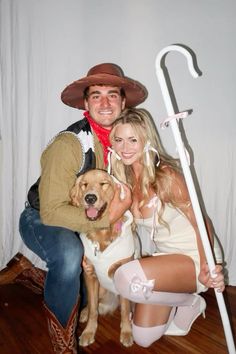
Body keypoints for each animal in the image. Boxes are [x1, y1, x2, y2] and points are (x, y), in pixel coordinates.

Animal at [70, 169, 136, 346]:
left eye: (103, 184)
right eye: (84, 184)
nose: (90, 198)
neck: (102, 234)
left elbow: (125, 310)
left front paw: (126, 332)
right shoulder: (90, 275)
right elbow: (93, 309)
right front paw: (89, 331)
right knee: (93, 304)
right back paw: (83, 313)